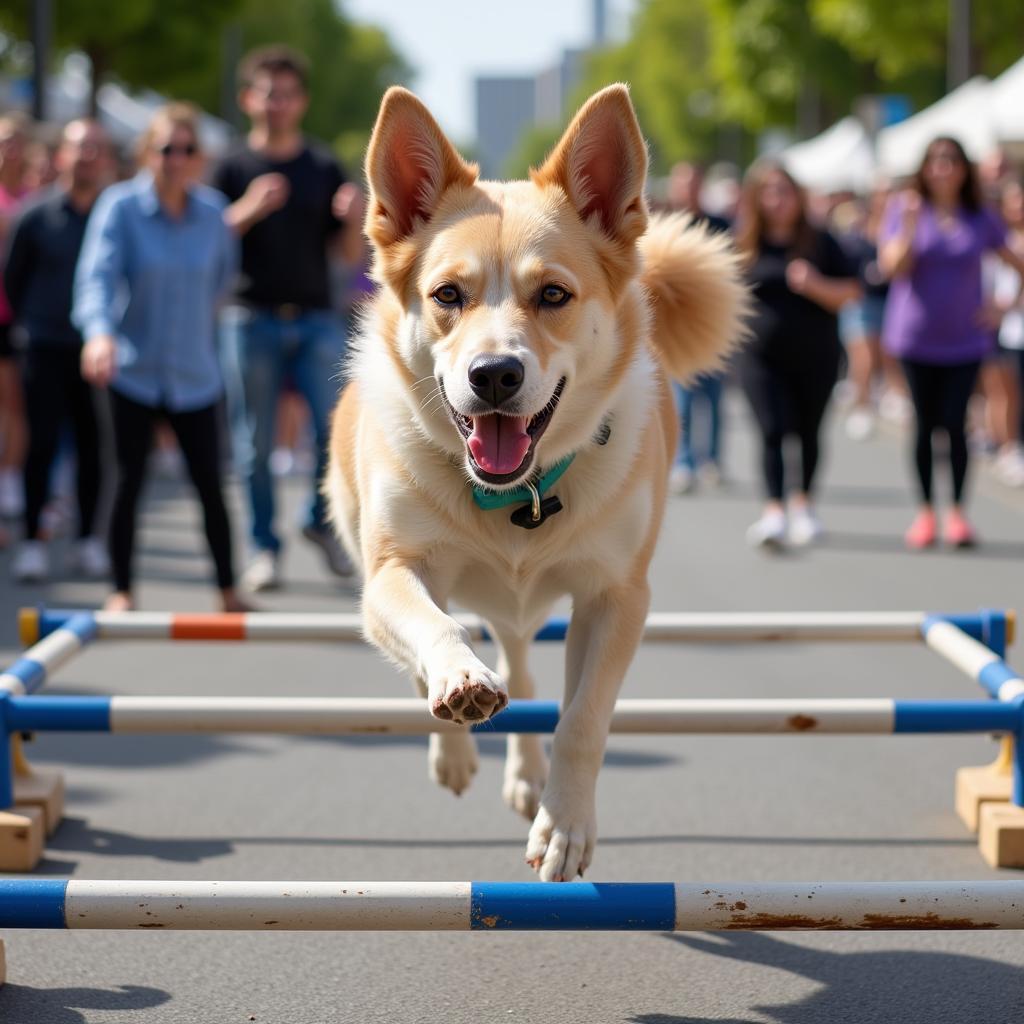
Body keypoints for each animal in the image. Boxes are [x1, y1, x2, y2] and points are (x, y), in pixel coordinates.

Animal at [327, 83, 745, 880]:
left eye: (552, 294)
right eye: (447, 295)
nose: (494, 374)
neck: (512, 494)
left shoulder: (618, 596)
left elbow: (582, 718)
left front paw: (564, 826)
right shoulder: (390, 572)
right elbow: (437, 630)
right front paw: (459, 690)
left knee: (523, 673)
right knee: (481, 665)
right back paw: (458, 741)